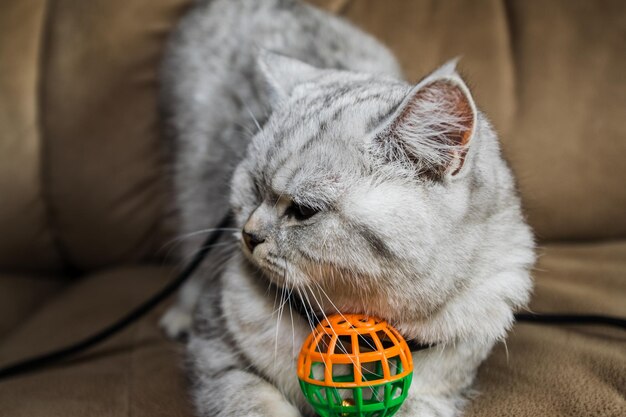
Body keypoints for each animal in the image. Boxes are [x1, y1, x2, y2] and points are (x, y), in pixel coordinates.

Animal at [158, 0, 532, 414]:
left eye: (303, 211)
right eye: (254, 189)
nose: (248, 235)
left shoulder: (438, 390)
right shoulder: (219, 354)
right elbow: (256, 401)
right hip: (190, 186)